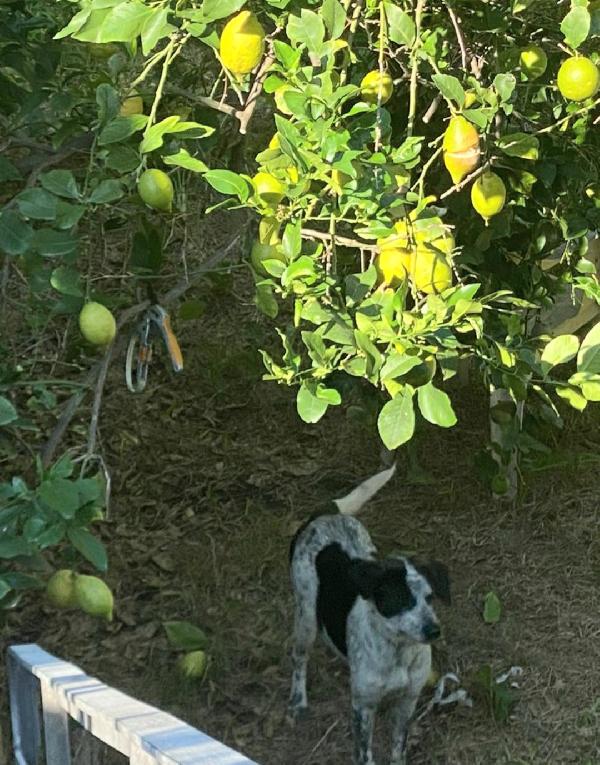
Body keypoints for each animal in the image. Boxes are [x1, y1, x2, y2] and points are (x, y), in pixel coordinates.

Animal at [288, 466, 450, 764]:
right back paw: (298, 701)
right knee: (299, 658)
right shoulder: (364, 707)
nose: (434, 630)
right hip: (305, 617)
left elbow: (399, 746)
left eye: (430, 597)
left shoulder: (407, 701)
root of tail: (325, 514)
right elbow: (364, 753)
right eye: (400, 600)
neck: (398, 652)